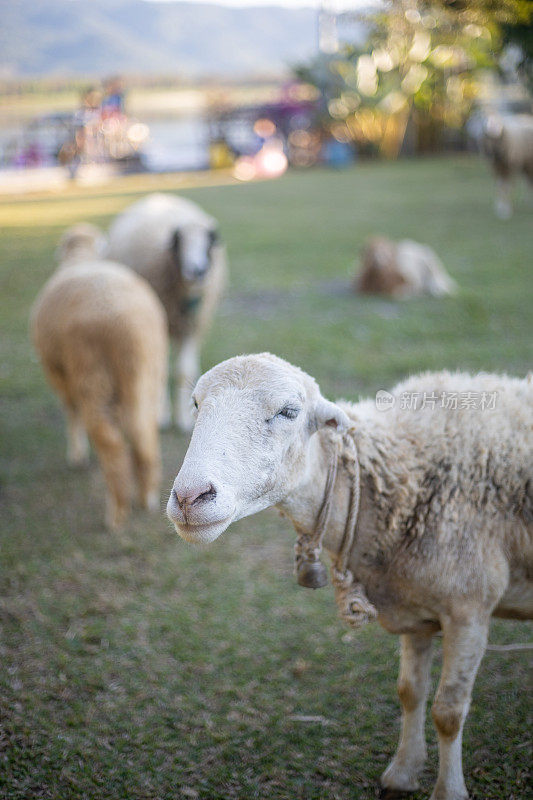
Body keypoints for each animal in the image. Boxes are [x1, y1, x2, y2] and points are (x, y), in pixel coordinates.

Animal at [30, 223, 166, 532]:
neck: (80, 256)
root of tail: (123, 324)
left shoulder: (57, 373)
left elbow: (70, 411)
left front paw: (77, 455)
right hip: (147, 375)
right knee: (144, 436)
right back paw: (147, 497)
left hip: (91, 377)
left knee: (111, 444)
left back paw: (116, 514)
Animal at [106, 193, 227, 432]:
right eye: (179, 242)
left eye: (208, 242)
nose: (198, 270)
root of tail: (159, 197)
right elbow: (159, 371)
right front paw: (161, 416)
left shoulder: (191, 326)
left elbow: (183, 371)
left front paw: (183, 419)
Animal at [166, 354, 532, 800]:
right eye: (196, 404)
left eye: (289, 412)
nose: (189, 497)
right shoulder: (416, 610)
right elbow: (411, 693)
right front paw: (401, 774)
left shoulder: (469, 610)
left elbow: (448, 711)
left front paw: (448, 790)